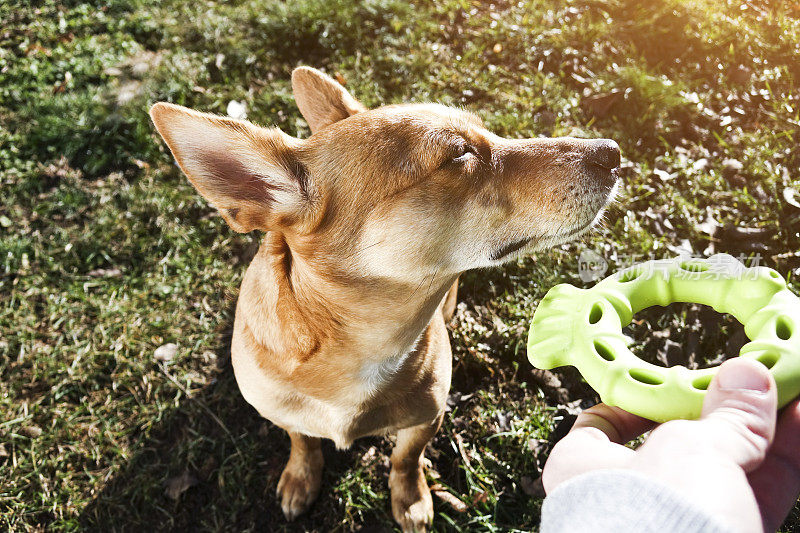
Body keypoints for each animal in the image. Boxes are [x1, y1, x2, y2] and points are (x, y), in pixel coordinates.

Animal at [148, 67, 620, 532]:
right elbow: (301, 440)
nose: (612, 151)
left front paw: (409, 499)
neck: (366, 344)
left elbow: (404, 458)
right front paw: (301, 477)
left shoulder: (426, 418)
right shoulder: (281, 412)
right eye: (458, 156)